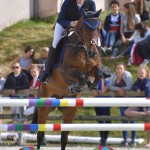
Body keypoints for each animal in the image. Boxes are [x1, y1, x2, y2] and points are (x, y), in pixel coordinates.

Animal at [35, 9, 107, 150]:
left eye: (99, 28)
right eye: (85, 28)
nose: (92, 53)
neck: (83, 49)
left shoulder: (94, 68)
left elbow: (99, 73)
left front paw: (93, 85)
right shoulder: (66, 70)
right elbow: (80, 77)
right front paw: (75, 87)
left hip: (70, 111)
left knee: (64, 138)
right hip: (44, 107)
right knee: (40, 136)